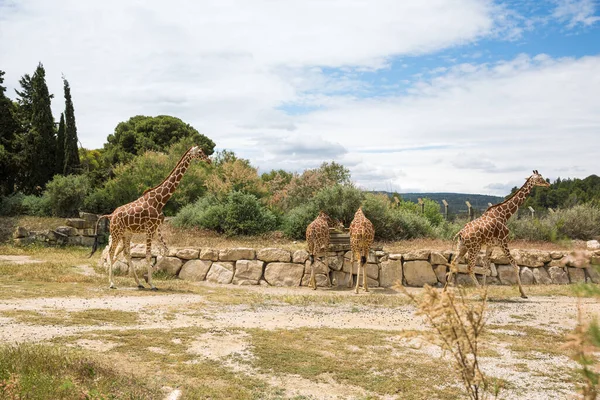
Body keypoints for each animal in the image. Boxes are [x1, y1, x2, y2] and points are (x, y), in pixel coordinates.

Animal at [88, 145, 211, 290]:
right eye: (200, 152)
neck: (160, 200)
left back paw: (139, 283)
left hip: (127, 234)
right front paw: (152, 283)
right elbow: (148, 255)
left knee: (126, 253)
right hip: (116, 232)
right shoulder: (149, 229)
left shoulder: (156, 228)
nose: (209, 160)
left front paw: (146, 278)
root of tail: (111, 215)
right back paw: (112, 283)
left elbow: (165, 251)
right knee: (111, 252)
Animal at [442, 170, 552, 298]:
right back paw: (480, 293)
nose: (548, 184)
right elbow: (514, 264)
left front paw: (485, 289)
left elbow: (485, 266)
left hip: (462, 247)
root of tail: (460, 233)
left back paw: (445, 291)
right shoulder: (503, 242)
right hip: (474, 248)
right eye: (540, 177)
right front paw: (523, 293)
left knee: (454, 263)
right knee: (469, 267)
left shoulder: (491, 245)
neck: (504, 215)